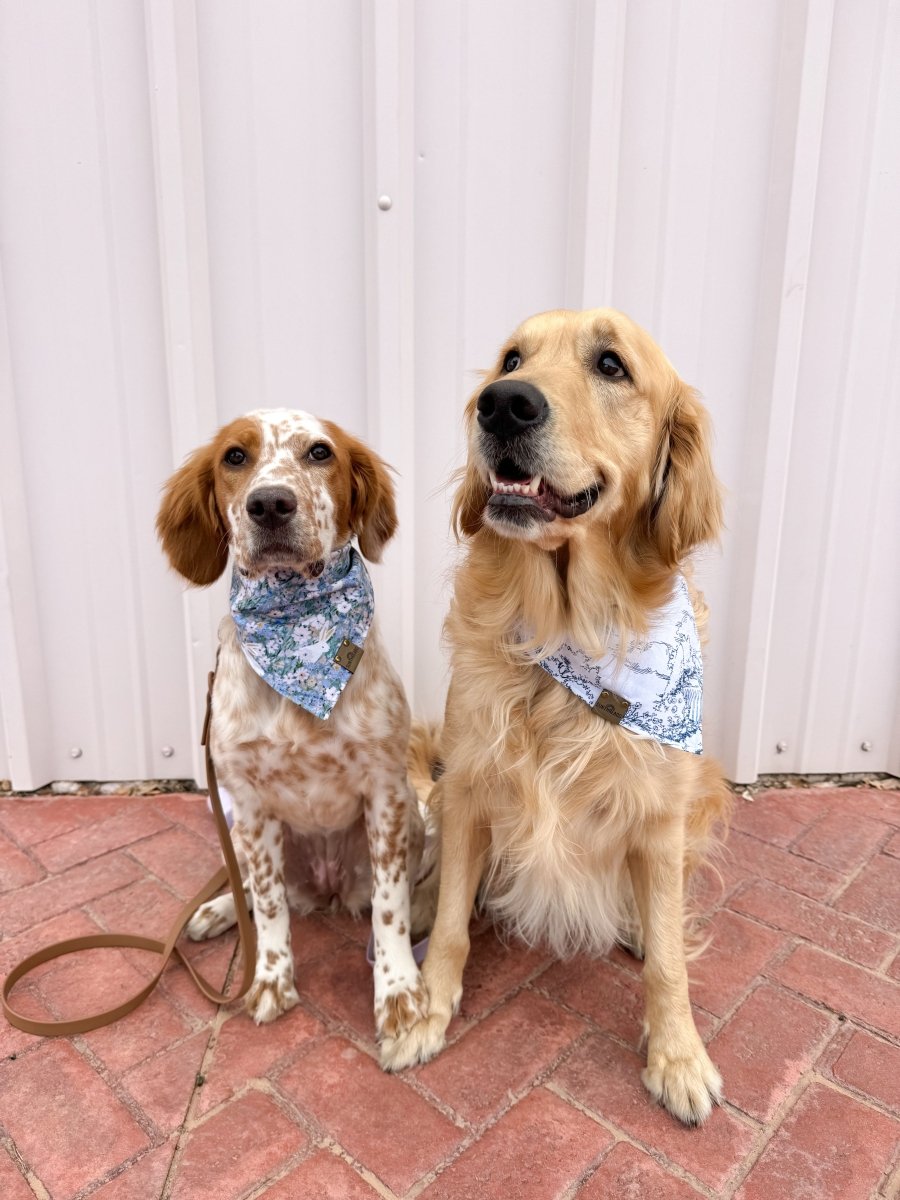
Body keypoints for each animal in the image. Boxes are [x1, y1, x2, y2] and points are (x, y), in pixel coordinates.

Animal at [157, 412, 429, 1060]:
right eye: (234, 457)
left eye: (319, 452)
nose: (271, 503)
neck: (297, 631)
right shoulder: (251, 806)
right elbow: (270, 903)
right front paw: (271, 979)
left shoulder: (386, 793)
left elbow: (390, 909)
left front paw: (399, 992)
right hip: (237, 825)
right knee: (256, 895)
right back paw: (217, 910)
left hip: (410, 818)